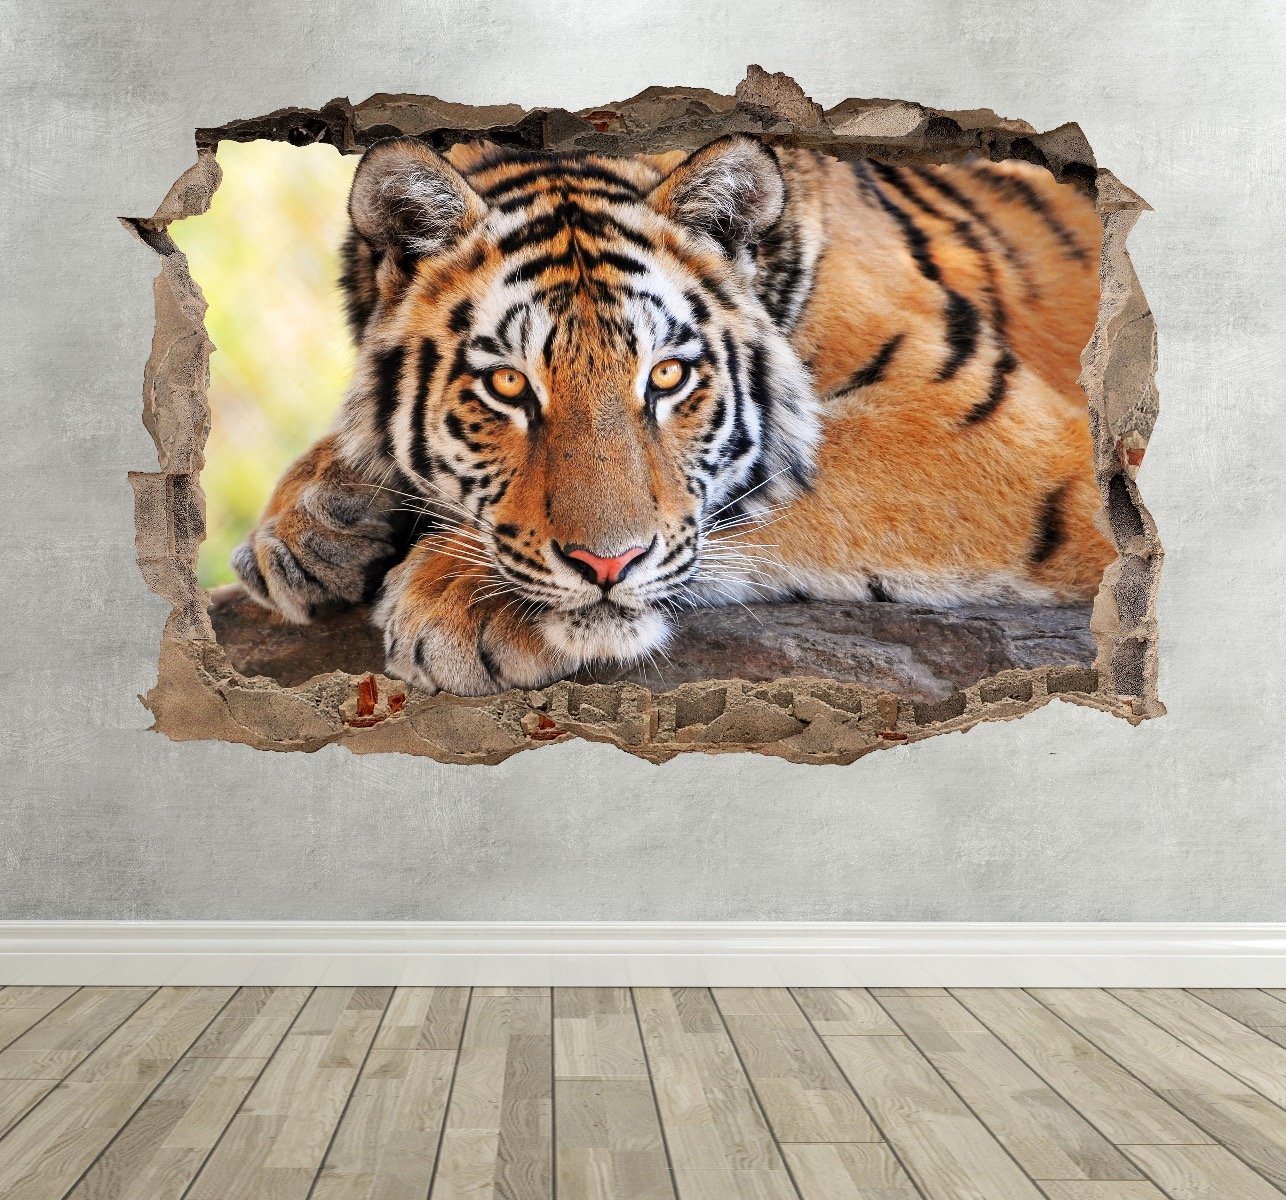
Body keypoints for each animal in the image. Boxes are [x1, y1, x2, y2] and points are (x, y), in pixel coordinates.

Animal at [230, 132, 1113, 696]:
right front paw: (313, 522)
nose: (607, 567)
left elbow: (763, 493)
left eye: (667, 376)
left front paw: (460, 595)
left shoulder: (995, 430)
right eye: (509, 386)